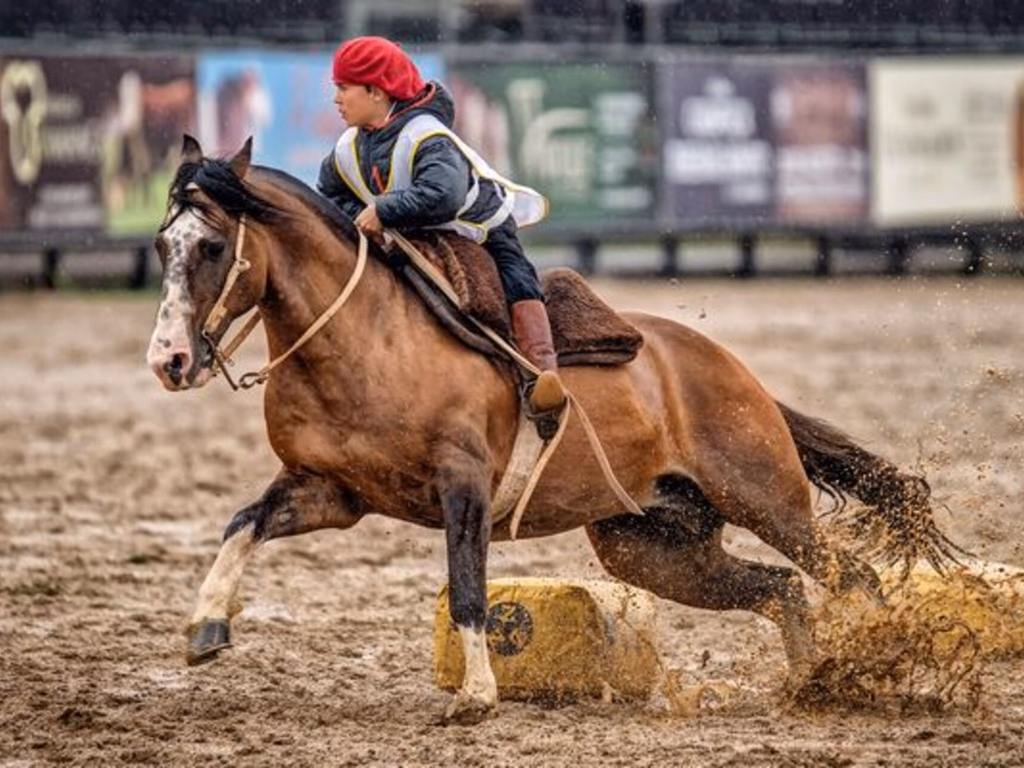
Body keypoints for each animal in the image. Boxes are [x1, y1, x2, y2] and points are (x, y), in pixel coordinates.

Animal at [146, 136, 956, 723]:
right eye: (161, 246)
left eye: (212, 246)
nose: (170, 359)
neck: (365, 336)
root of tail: (737, 374)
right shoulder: (330, 492)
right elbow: (242, 523)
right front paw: (206, 628)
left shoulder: (464, 486)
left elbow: (468, 587)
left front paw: (476, 697)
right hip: (656, 549)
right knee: (781, 589)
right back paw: (811, 684)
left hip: (768, 502)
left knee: (850, 576)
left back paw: (872, 669)